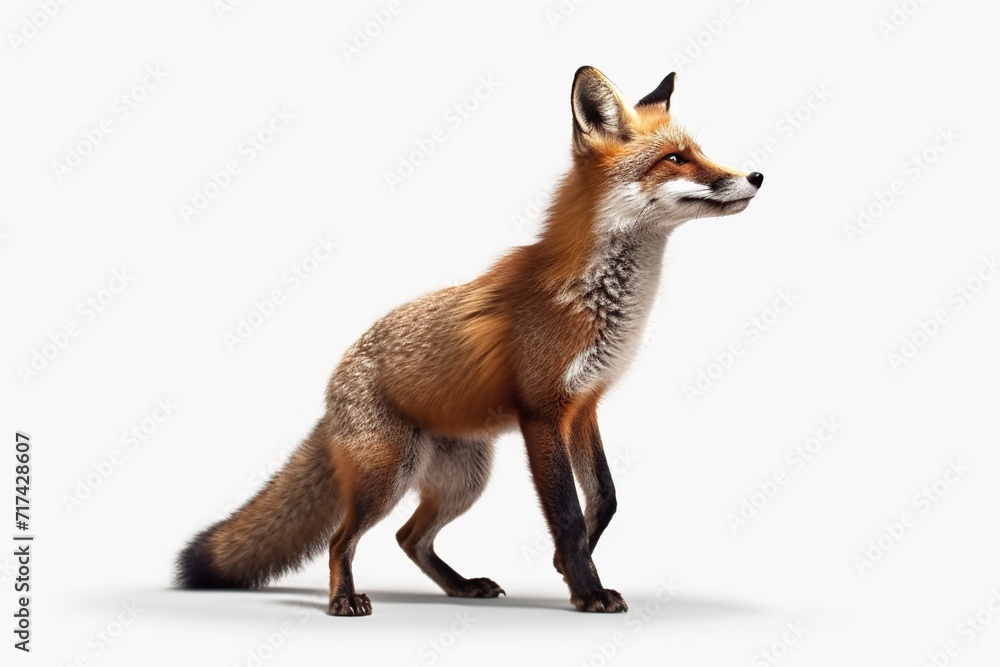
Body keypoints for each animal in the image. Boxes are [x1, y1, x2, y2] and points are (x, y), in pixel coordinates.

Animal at [176, 66, 763, 615]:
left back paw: (460, 585)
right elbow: (569, 515)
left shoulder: (584, 405)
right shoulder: (542, 412)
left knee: (408, 538)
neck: (598, 299)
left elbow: (605, 498)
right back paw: (344, 599)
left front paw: (566, 567)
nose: (756, 175)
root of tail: (333, 387)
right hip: (387, 476)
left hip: (463, 480)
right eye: (676, 159)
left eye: (699, 152)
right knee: (341, 540)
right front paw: (587, 590)